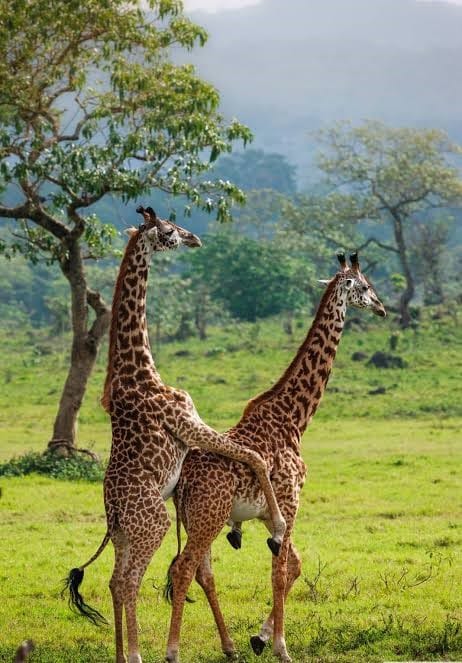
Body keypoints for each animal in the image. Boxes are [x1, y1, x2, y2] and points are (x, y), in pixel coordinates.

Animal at [63, 206, 287, 663]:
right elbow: (253, 456)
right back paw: (136, 655)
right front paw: (275, 525)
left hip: (126, 535)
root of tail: (113, 513)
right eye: (168, 230)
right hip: (155, 524)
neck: (141, 367)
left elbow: (250, 455)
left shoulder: (192, 427)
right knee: (128, 581)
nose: (194, 238)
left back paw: (121, 654)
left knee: (114, 580)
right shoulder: (188, 423)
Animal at [165, 252, 386, 663]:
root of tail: (182, 480)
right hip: (209, 517)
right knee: (184, 568)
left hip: (199, 518)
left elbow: (294, 565)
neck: (295, 418)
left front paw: (260, 638)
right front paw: (282, 647)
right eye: (365, 286)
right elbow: (280, 571)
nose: (381, 308)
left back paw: (230, 646)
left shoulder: (270, 514)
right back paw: (173, 650)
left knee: (202, 572)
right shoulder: (290, 500)